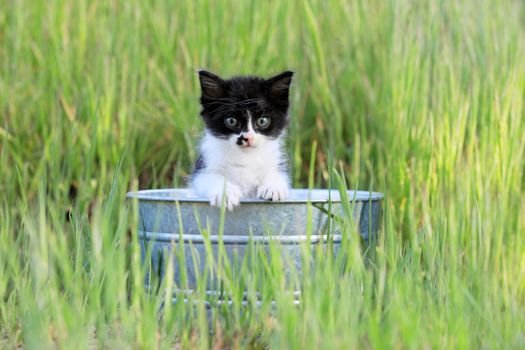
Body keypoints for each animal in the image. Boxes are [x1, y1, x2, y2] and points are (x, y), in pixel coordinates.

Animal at [190, 69, 292, 209]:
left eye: (262, 121)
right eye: (231, 121)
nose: (247, 138)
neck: (245, 157)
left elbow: (276, 173)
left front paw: (273, 187)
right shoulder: (202, 168)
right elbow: (210, 178)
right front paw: (225, 193)